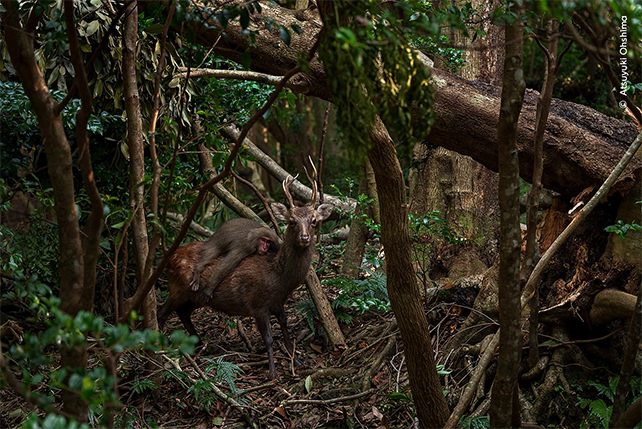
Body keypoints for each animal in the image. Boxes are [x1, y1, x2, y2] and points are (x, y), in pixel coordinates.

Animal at [158, 171, 332, 378]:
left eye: (314, 221)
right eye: (291, 221)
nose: (304, 237)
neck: (279, 279)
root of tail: (168, 259)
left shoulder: (278, 302)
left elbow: (285, 329)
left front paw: (295, 360)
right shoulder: (257, 304)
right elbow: (268, 339)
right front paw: (273, 373)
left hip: (196, 297)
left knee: (183, 312)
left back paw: (199, 344)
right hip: (177, 288)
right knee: (161, 313)